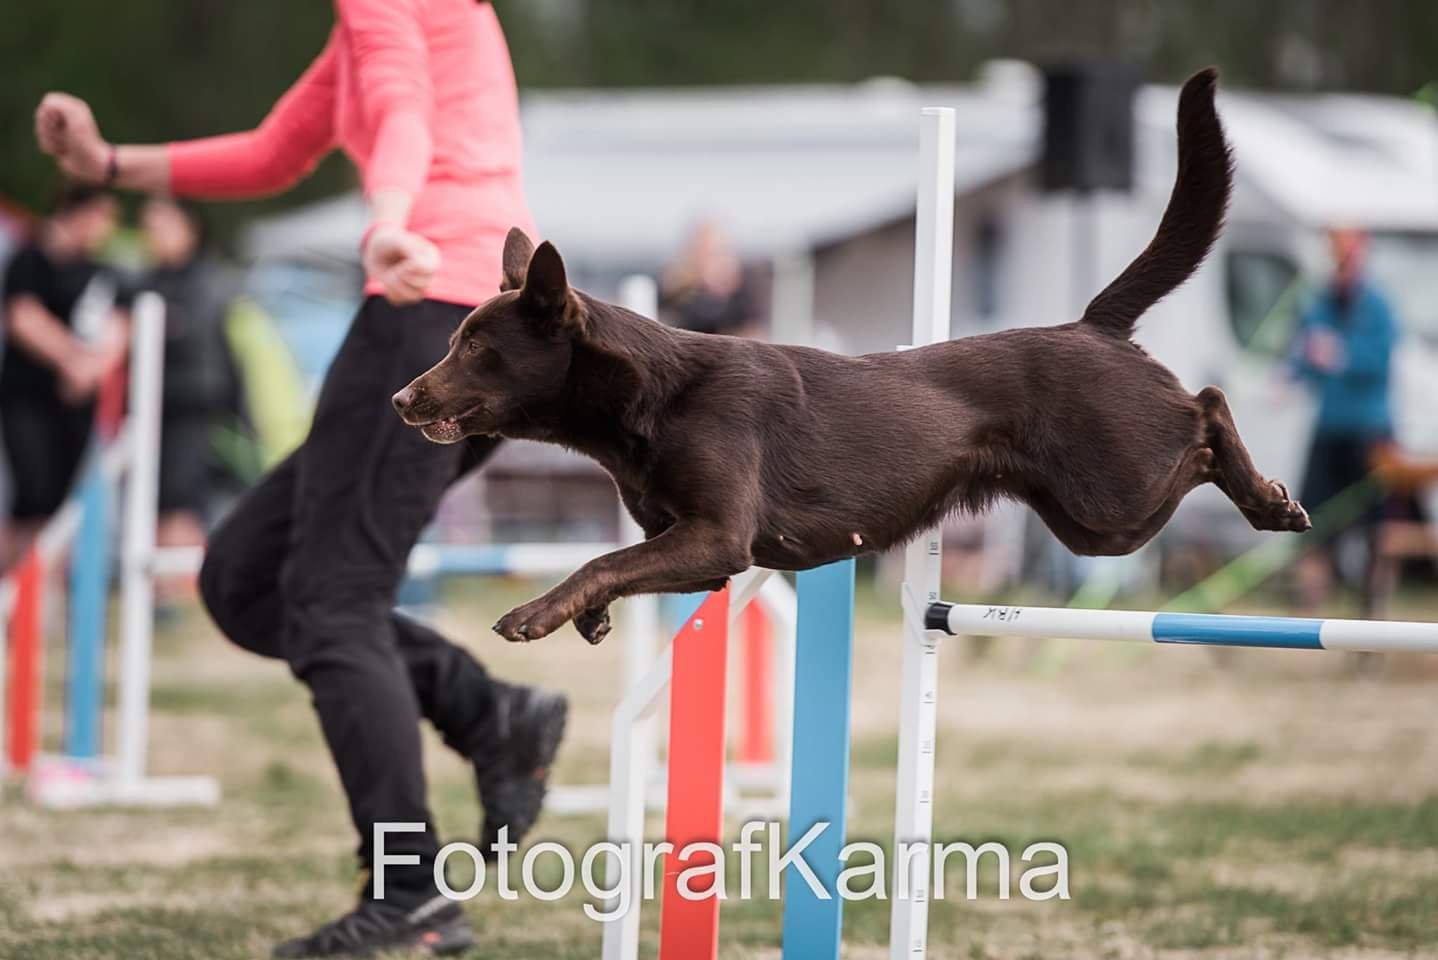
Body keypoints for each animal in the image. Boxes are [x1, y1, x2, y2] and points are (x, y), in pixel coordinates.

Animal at [393, 67, 1310, 645]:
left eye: (477, 347)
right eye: (454, 341)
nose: (402, 400)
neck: (653, 397)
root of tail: (1091, 324)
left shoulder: (718, 539)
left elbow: (602, 557)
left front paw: (538, 614)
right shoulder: (692, 557)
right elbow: (619, 563)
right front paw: (587, 618)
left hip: (1114, 493)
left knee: (1209, 409)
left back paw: (1270, 501)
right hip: (1091, 524)